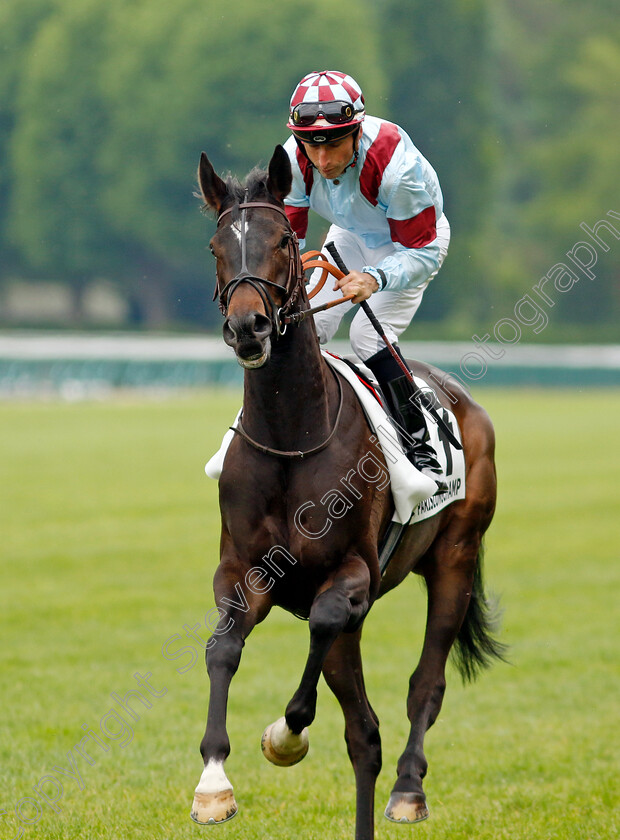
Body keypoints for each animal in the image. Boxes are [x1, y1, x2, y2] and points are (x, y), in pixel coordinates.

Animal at [190, 146, 504, 840]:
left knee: (423, 685)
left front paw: (285, 734)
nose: (248, 327)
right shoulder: (240, 568)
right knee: (363, 728)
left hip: (456, 557)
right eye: (217, 245)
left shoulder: (352, 572)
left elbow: (327, 625)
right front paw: (213, 784)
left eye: (283, 241)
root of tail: (462, 399)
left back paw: (408, 790)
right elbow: (223, 647)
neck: (292, 438)